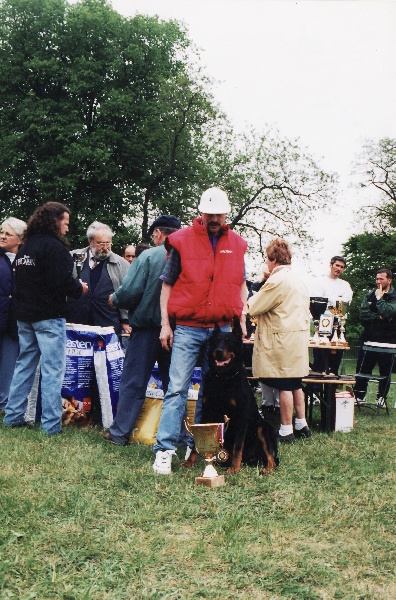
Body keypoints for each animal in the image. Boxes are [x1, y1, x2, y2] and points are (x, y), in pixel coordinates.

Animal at [183, 316, 278, 476]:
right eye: (216, 341)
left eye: (229, 342)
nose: (219, 351)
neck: (223, 378)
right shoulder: (207, 413)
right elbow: (197, 442)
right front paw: (190, 461)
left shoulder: (241, 416)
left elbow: (238, 444)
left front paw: (234, 467)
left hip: (263, 427)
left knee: (272, 457)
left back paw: (266, 468)